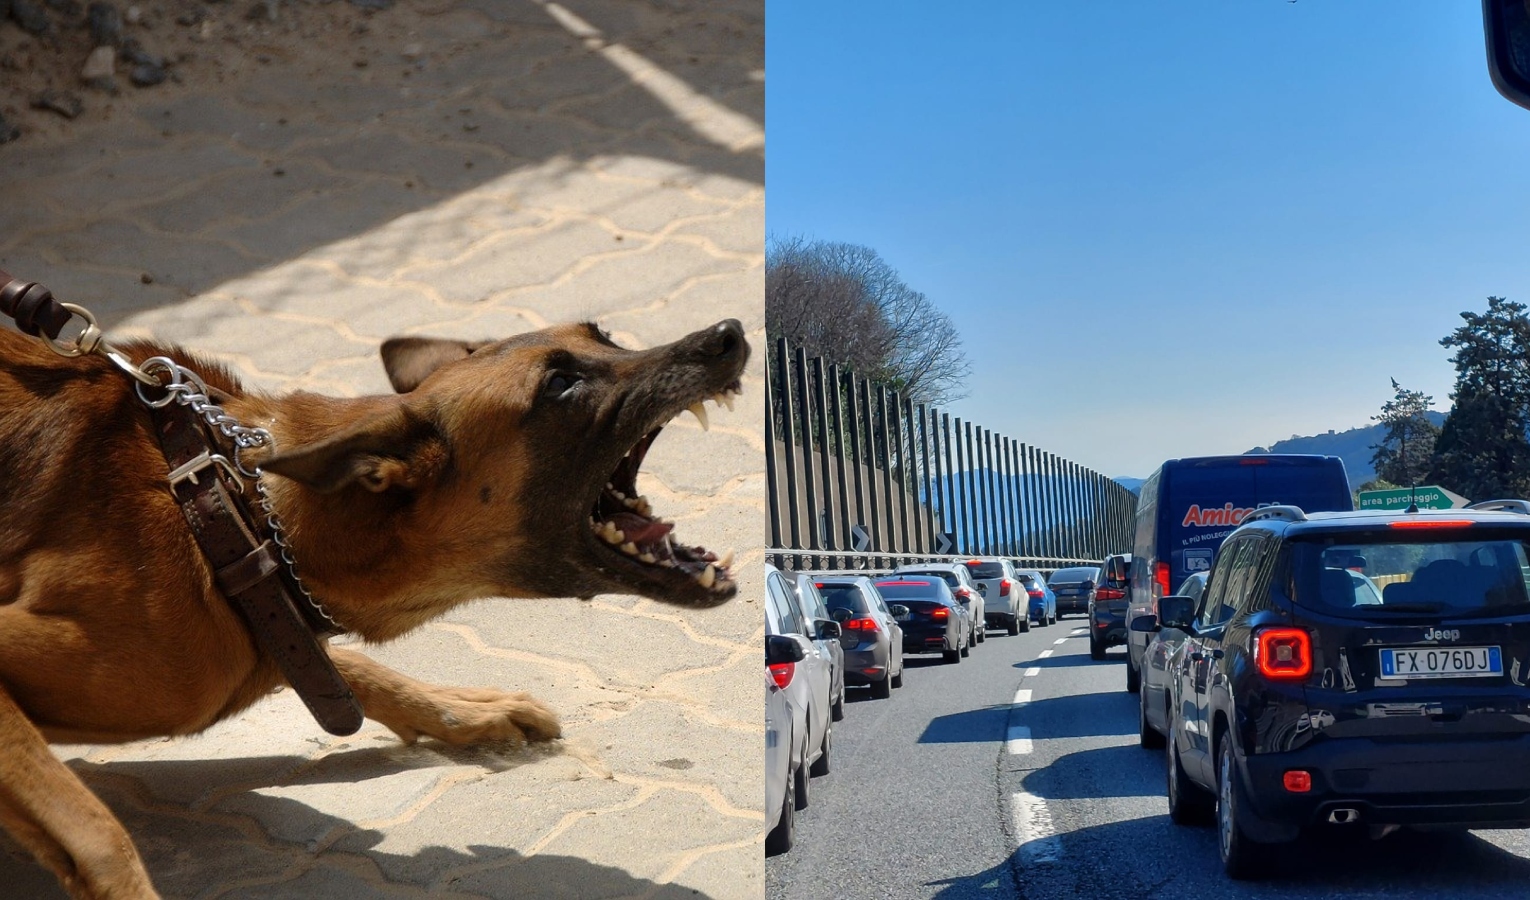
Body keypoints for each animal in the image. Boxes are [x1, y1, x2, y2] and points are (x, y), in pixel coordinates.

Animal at [0, 318, 746, 900]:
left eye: (605, 336)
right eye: (559, 385)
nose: (728, 336)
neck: (232, 515)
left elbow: (342, 664)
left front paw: (459, 708)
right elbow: (97, 835)